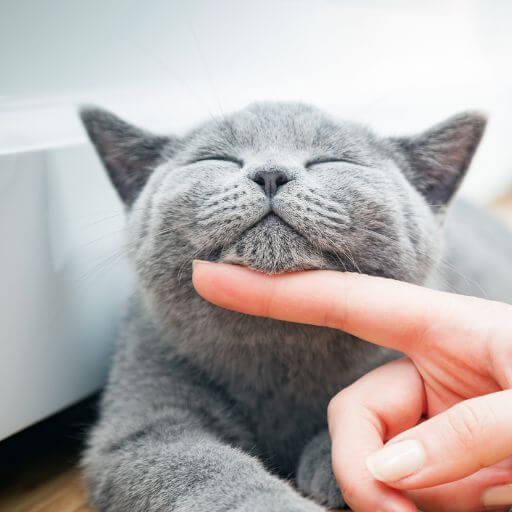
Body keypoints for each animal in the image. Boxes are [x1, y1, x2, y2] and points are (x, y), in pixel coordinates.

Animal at [78, 102, 512, 510]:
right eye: (218, 158)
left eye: (331, 161)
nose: (270, 173)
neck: (277, 351)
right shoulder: (142, 422)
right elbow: (203, 471)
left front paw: (331, 460)